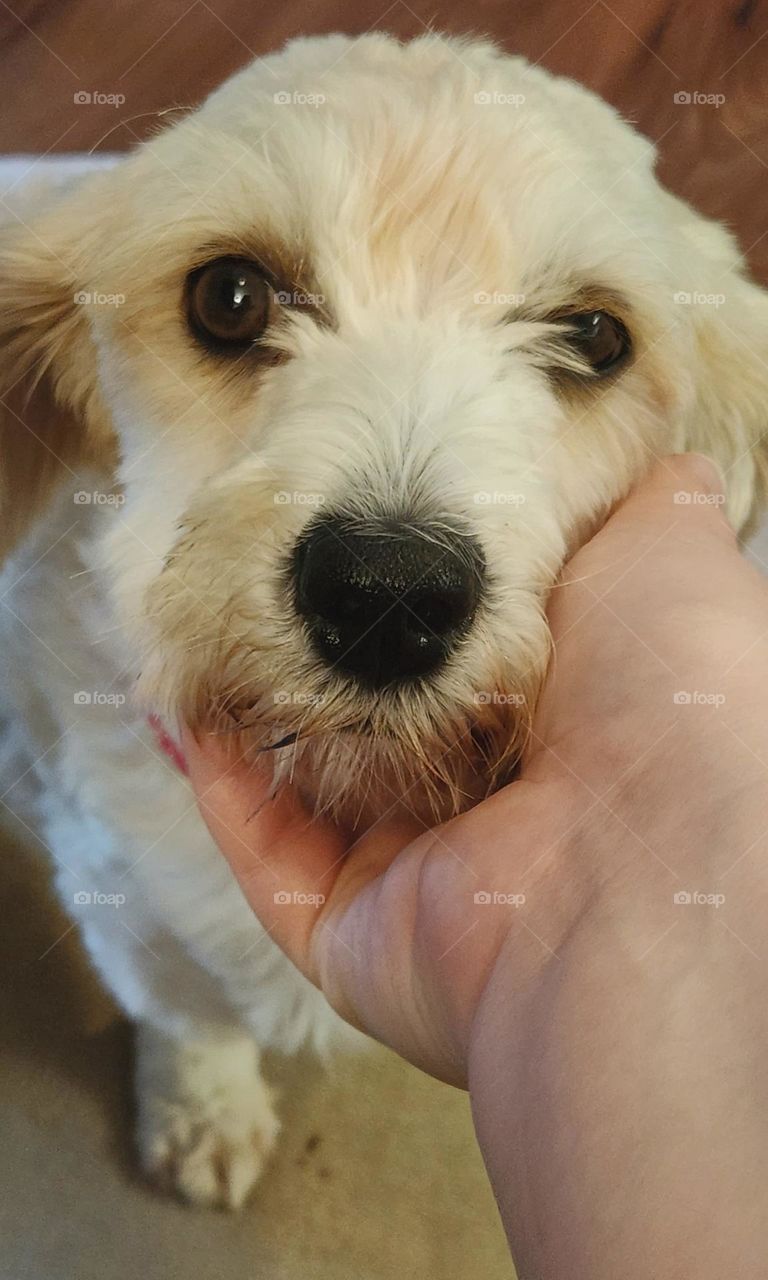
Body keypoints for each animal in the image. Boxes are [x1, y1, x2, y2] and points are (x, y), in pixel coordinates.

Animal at [1, 30, 768, 1203]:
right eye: (229, 296)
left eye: (596, 335)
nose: (387, 594)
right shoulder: (120, 886)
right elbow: (188, 1010)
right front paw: (204, 1106)